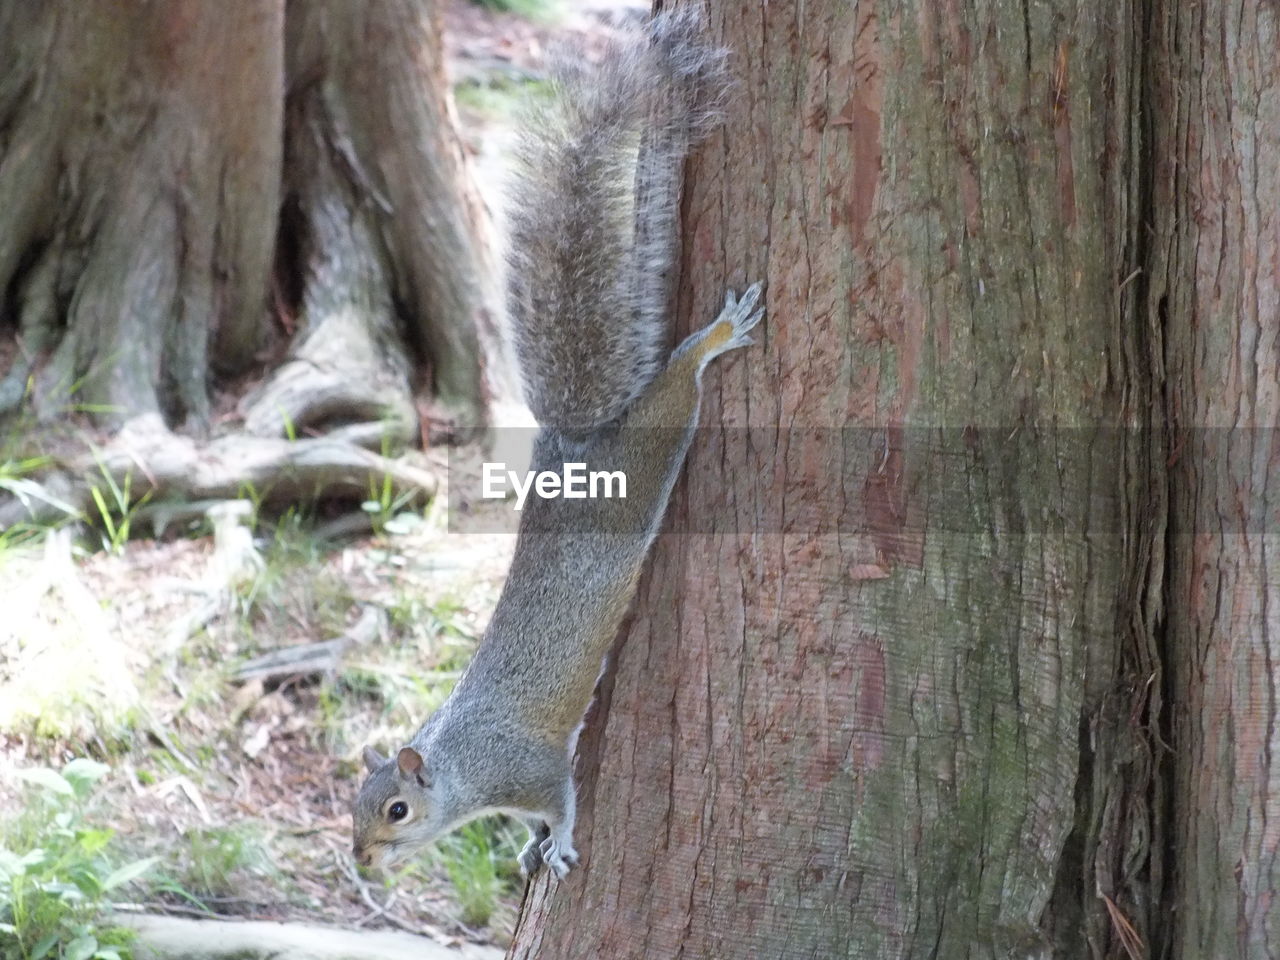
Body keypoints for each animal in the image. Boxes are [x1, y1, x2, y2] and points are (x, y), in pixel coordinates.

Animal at [350, 7, 757, 885]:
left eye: (396, 810)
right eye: (351, 806)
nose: (361, 863)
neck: (460, 768)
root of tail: (570, 448)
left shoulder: (528, 768)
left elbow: (564, 797)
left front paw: (559, 842)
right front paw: (534, 845)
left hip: (645, 462)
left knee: (677, 392)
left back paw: (713, 339)